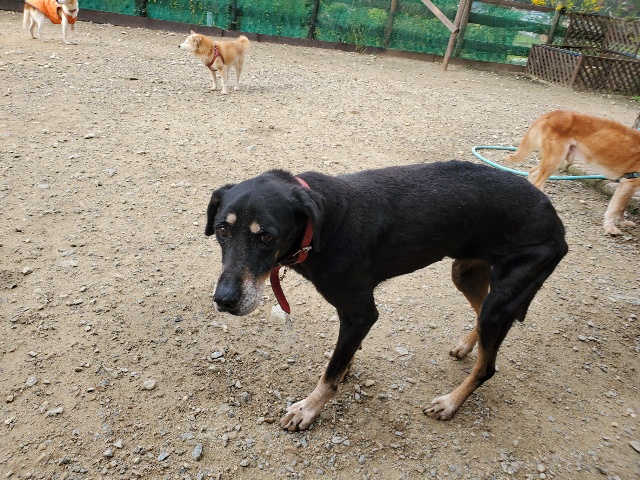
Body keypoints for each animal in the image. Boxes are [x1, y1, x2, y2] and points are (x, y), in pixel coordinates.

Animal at [205, 160, 568, 431]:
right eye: (222, 230)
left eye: (266, 237)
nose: (224, 300)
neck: (318, 229)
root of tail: (558, 224)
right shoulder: (353, 320)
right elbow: (342, 358)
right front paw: (345, 369)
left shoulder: (361, 313)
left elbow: (329, 373)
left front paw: (308, 409)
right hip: (465, 272)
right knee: (479, 318)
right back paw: (468, 345)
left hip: (501, 300)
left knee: (487, 366)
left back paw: (450, 403)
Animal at [507, 110, 640, 235]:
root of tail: (555, 113)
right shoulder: (628, 185)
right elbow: (615, 209)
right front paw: (610, 227)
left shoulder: (627, 185)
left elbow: (622, 207)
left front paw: (622, 222)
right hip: (555, 159)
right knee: (538, 182)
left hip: (556, 159)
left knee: (533, 172)